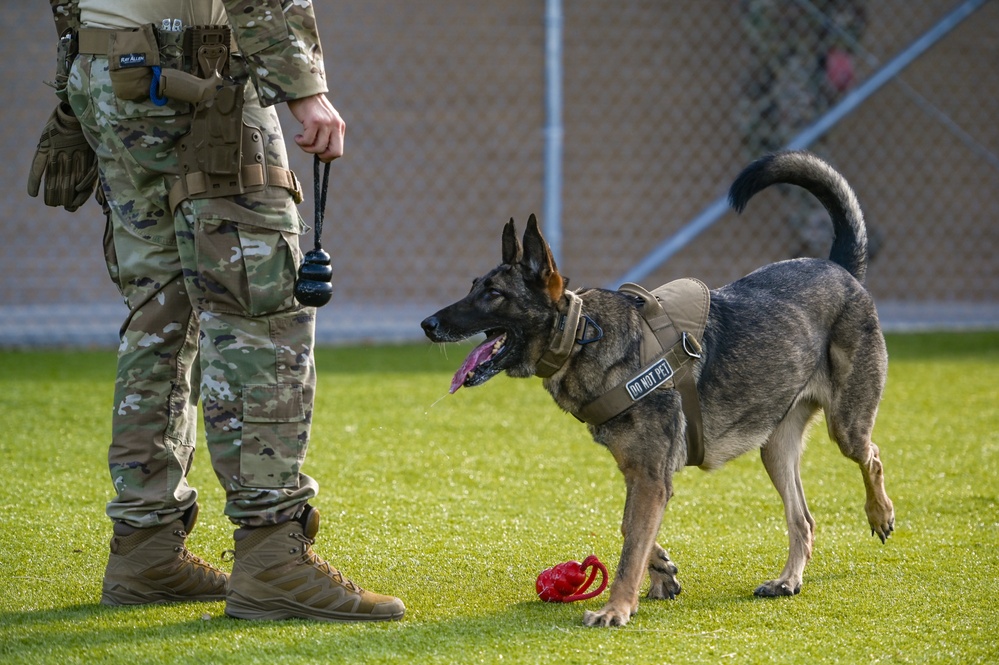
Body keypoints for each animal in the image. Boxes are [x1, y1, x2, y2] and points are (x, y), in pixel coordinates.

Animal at [418, 152, 896, 628]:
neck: (583, 335)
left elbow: (630, 547)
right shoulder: (642, 474)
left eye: (494, 293)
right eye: (473, 286)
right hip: (774, 449)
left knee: (870, 455)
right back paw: (787, 580)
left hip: (846, 425)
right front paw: (660, 569)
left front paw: (615, 609)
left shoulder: (650, 476)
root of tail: (840, 268)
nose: (427, 324)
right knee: (804, 519)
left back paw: (880, 514)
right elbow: (630, 530)